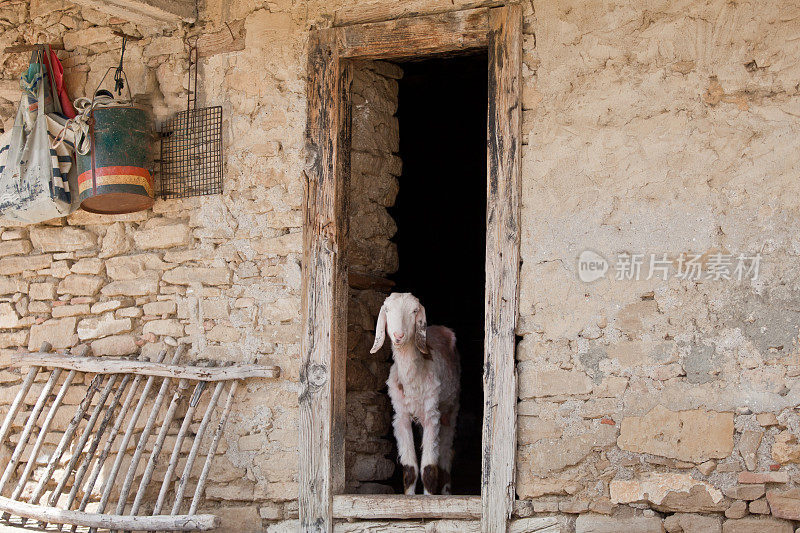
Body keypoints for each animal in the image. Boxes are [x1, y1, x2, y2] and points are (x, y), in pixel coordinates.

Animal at [370, 290, 460, 494]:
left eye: (414, 311)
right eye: (387, 310)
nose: (398, 335)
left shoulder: (432, 414)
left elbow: (429, 470)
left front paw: (428, 498)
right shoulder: (401, 416)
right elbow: (410, 469)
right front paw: (409, 497)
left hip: (451, 407)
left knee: (446, 453)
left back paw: (446, 491)